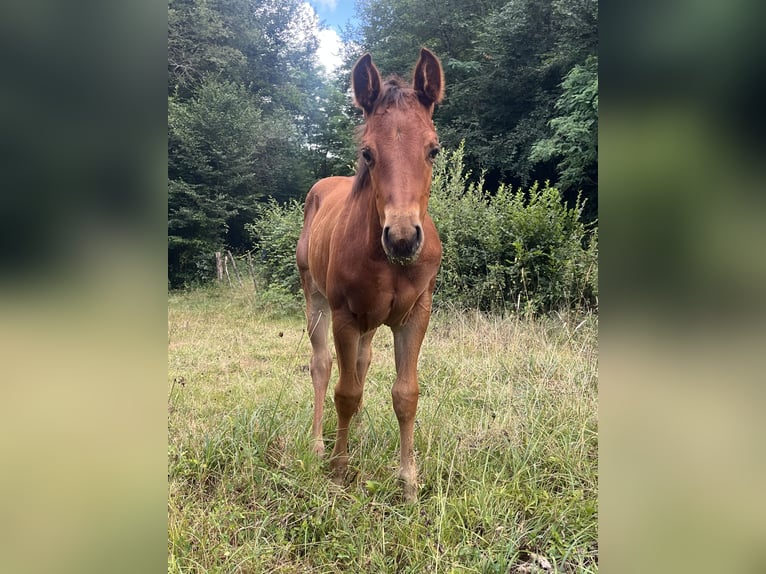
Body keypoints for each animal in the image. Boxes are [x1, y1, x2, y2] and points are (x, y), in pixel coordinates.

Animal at [296, 48, 444, 503]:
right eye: (367, 152)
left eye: (433, 150)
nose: (402, 237)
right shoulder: (345, 314)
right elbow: (345, 392)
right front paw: (339, 471)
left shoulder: (415, 315)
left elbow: (405, 393)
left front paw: (409, 482)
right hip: (316, 298)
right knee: (323, 365)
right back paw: (319, 443)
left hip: (372, 321)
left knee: (361, 362)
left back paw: (358, 435)